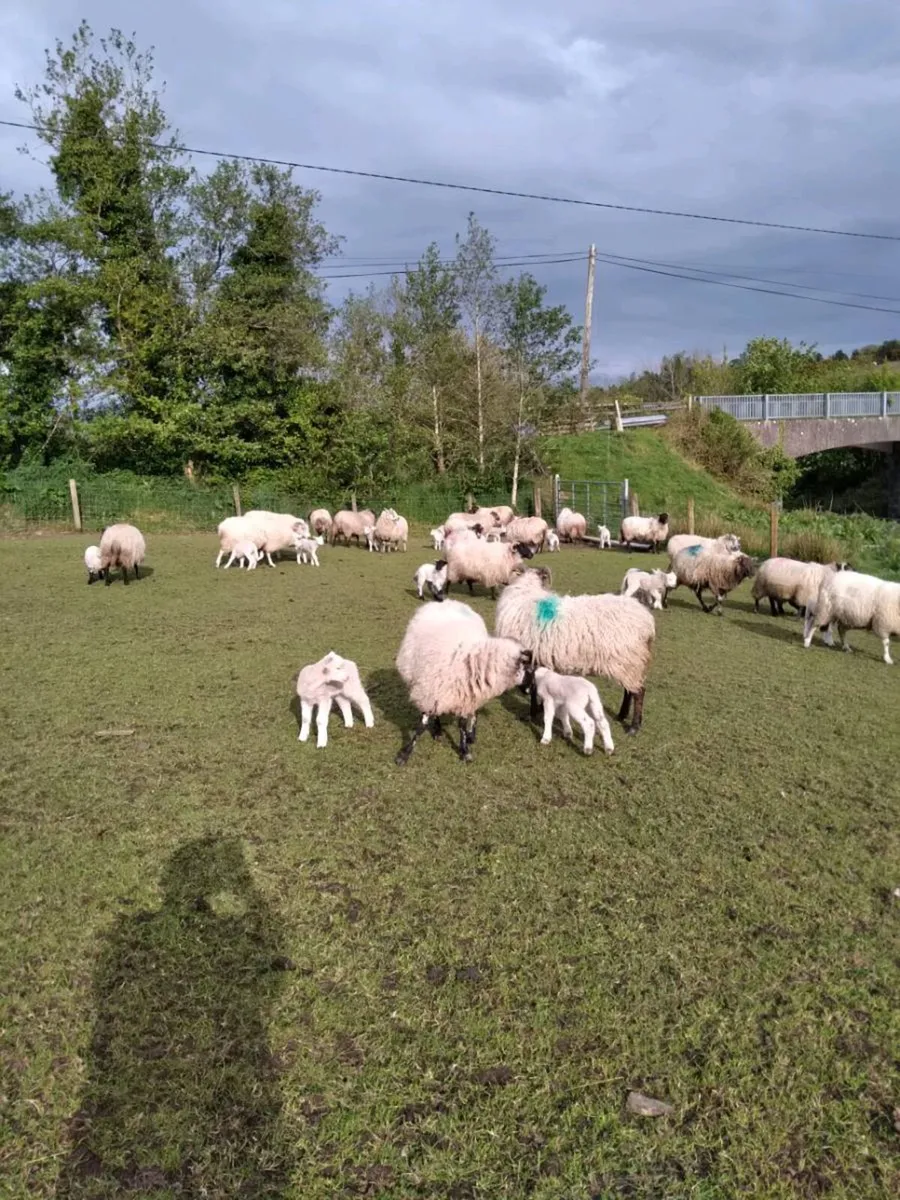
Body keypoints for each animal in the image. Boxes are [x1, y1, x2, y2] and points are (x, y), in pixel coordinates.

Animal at [395, 599, 533, 764]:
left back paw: (471, 734)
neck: (475, 660)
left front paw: (465, 749)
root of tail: (446, 601)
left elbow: (462, 724)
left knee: (474, 713)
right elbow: (422, 725)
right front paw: (405, 753)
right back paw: (439, 730)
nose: (530, 689)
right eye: (528, 666)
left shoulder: (466, 695)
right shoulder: (430, 691)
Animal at [495, 567, 655, 734]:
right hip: (628, 663)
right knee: (629, 691)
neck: (526, 591)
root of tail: (648, 621)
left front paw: (531, 714)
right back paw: (621, 715)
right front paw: (538, 709)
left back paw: (634, 726)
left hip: (629, 659)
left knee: (639, 692)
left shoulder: (532, 656)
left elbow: (533, 688)